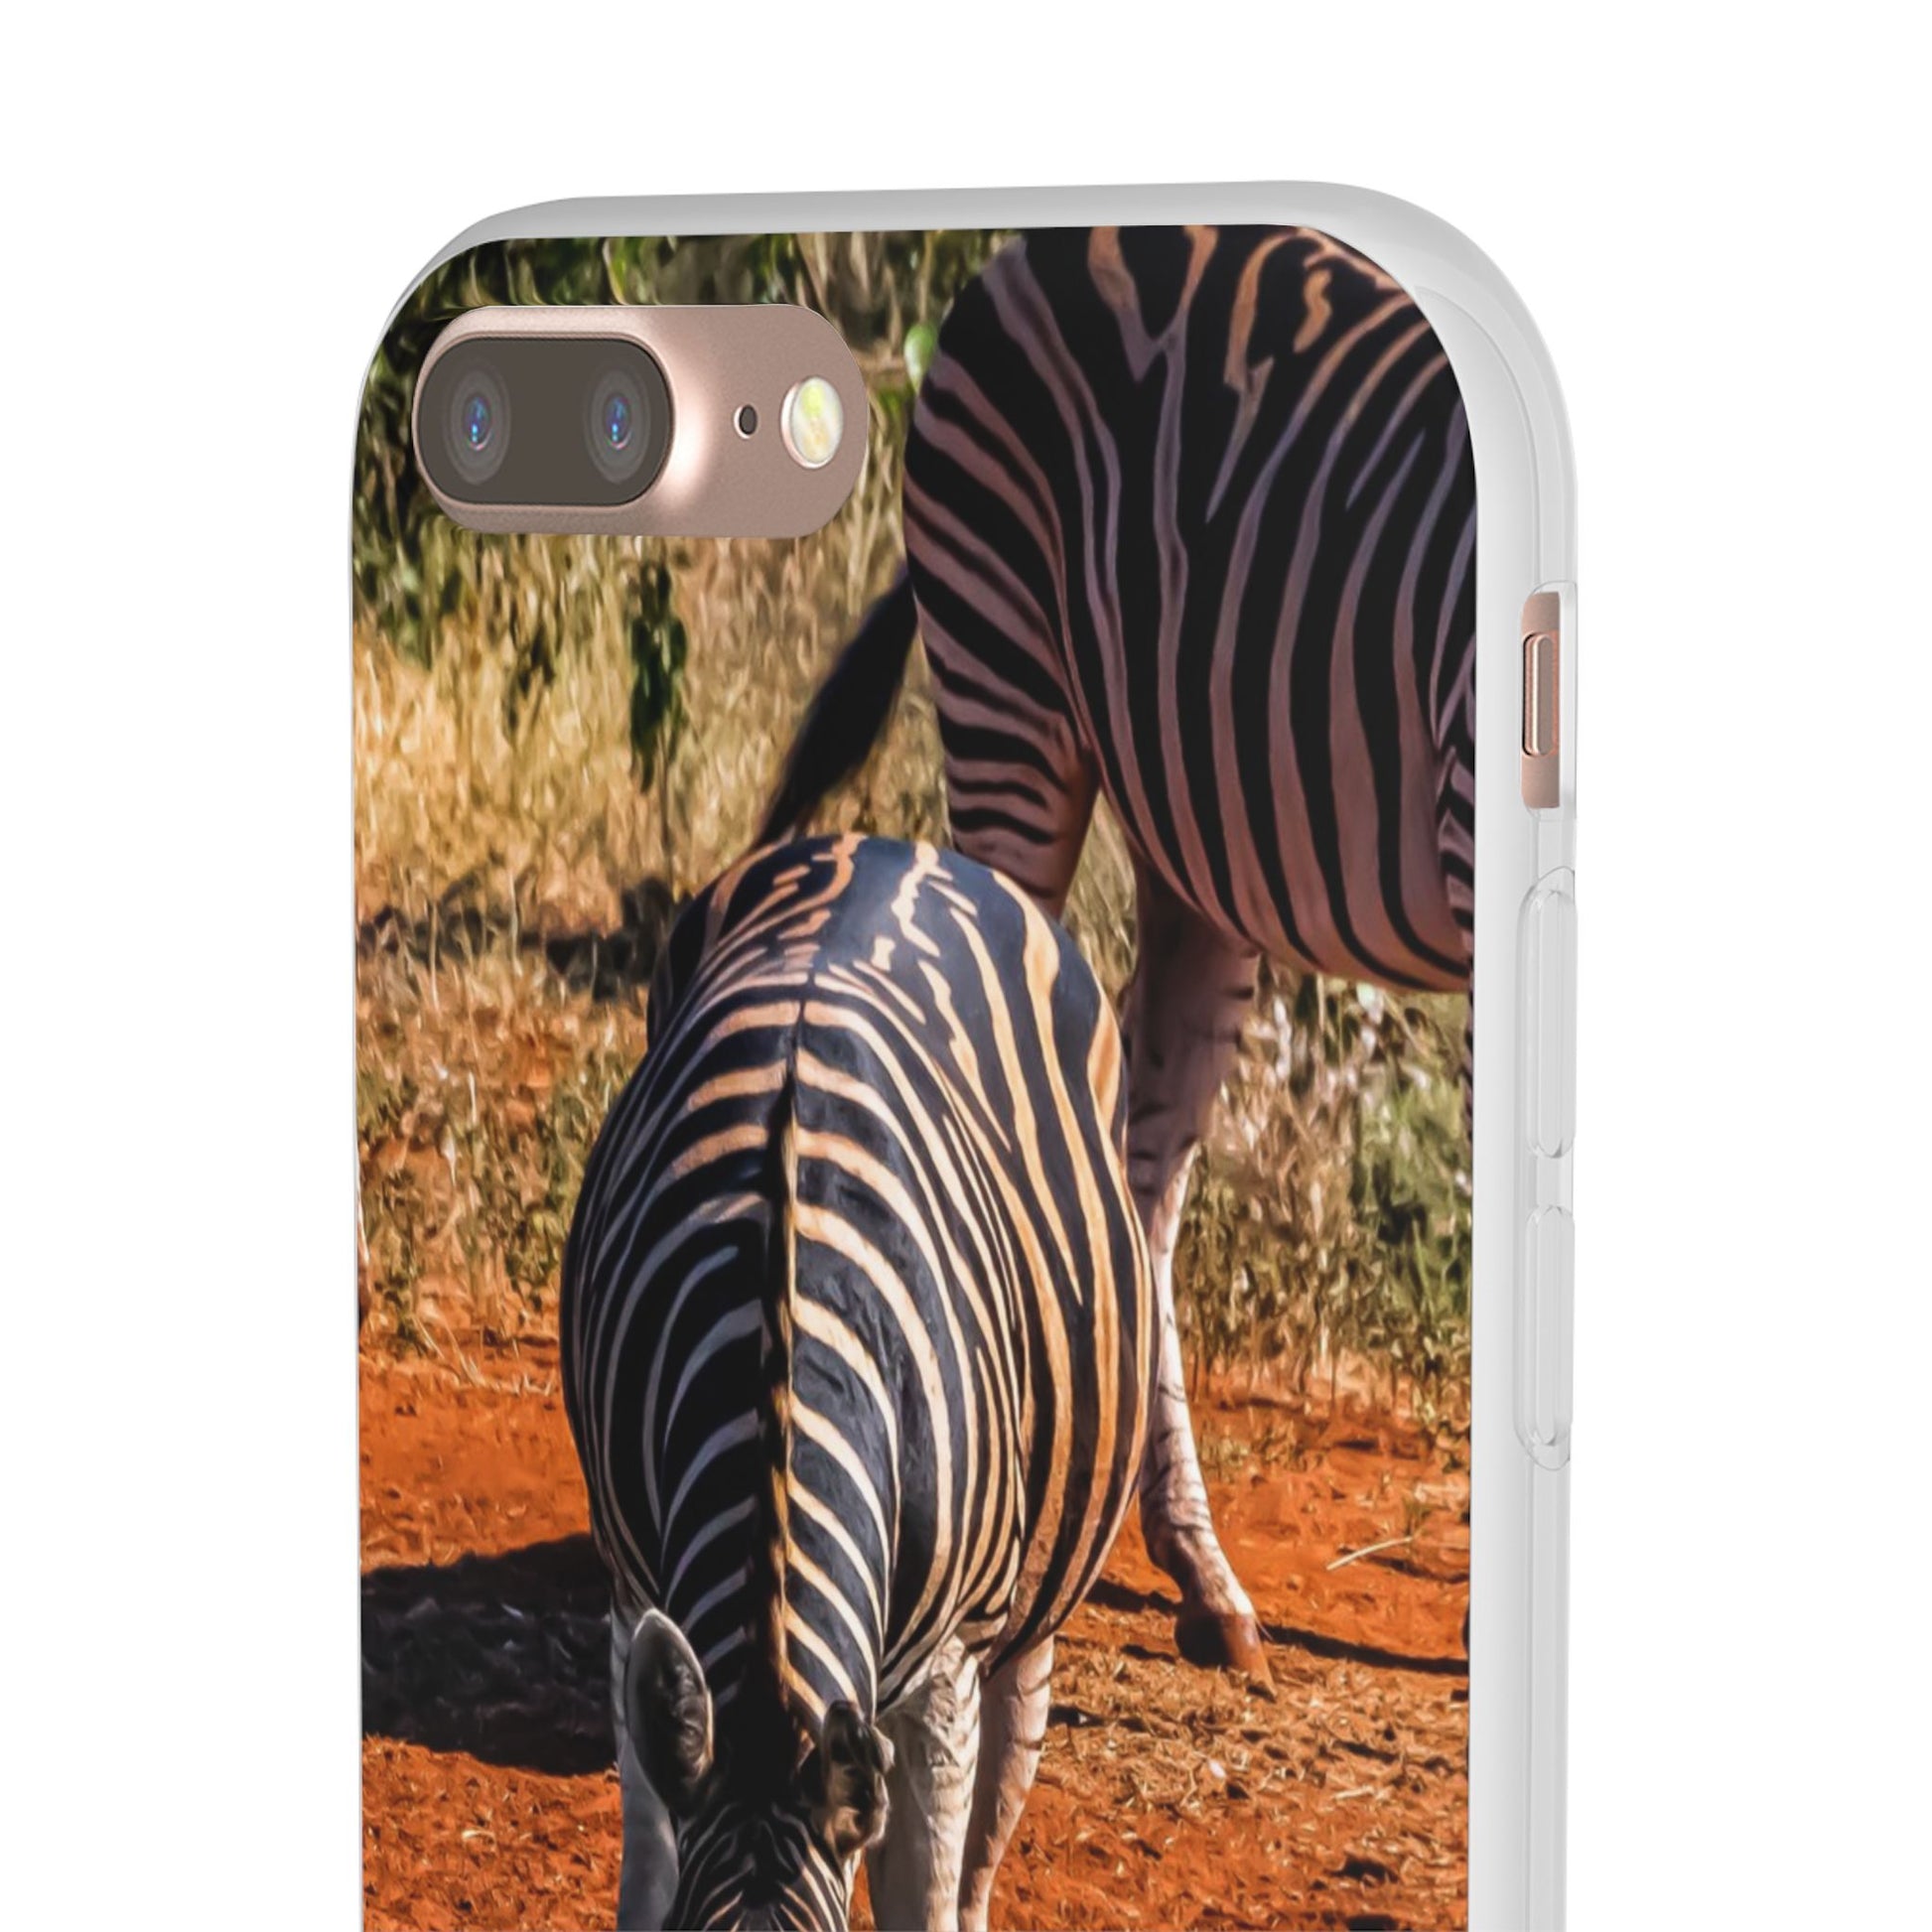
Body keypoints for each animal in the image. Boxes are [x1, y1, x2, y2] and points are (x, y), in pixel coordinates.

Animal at [562, 833, 1152, 1930]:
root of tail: (890, 843)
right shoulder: (632, 1594)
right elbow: (647, 1874)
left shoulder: (947, 1670)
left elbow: (921, 1897)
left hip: (1027, 1600)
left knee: (994, 1803)